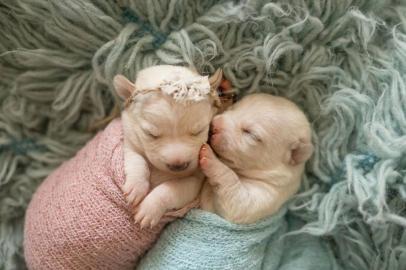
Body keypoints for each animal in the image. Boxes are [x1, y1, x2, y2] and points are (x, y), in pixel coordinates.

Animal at [113, 65, 222, 228]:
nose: (178, 165)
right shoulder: (131, 140)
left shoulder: (195, 181)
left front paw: (149, 208)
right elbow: (137, 160)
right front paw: (136, 187)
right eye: (151, 134)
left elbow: (172, 188)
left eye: (199, 131)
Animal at [200, 94, 314, 225]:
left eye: (251, 134)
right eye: (233, 108)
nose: (213, 127)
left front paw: (210, 158)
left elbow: (238, 203)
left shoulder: (268, 195)